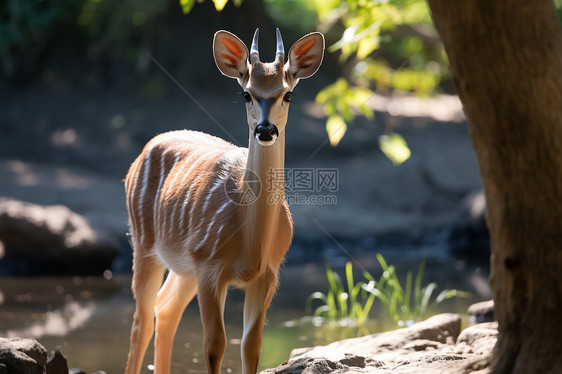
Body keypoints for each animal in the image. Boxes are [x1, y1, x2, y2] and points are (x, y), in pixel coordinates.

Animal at [122, 29, 324, 374]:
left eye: (288, 95)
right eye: (246, 94)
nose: (265, 129)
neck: (251, 243)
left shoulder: (267, 273)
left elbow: (251, 345)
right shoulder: (209, 264)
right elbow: (214, 344)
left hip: (183, 265)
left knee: (165, 309)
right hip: (144, 242)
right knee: (142, 319)